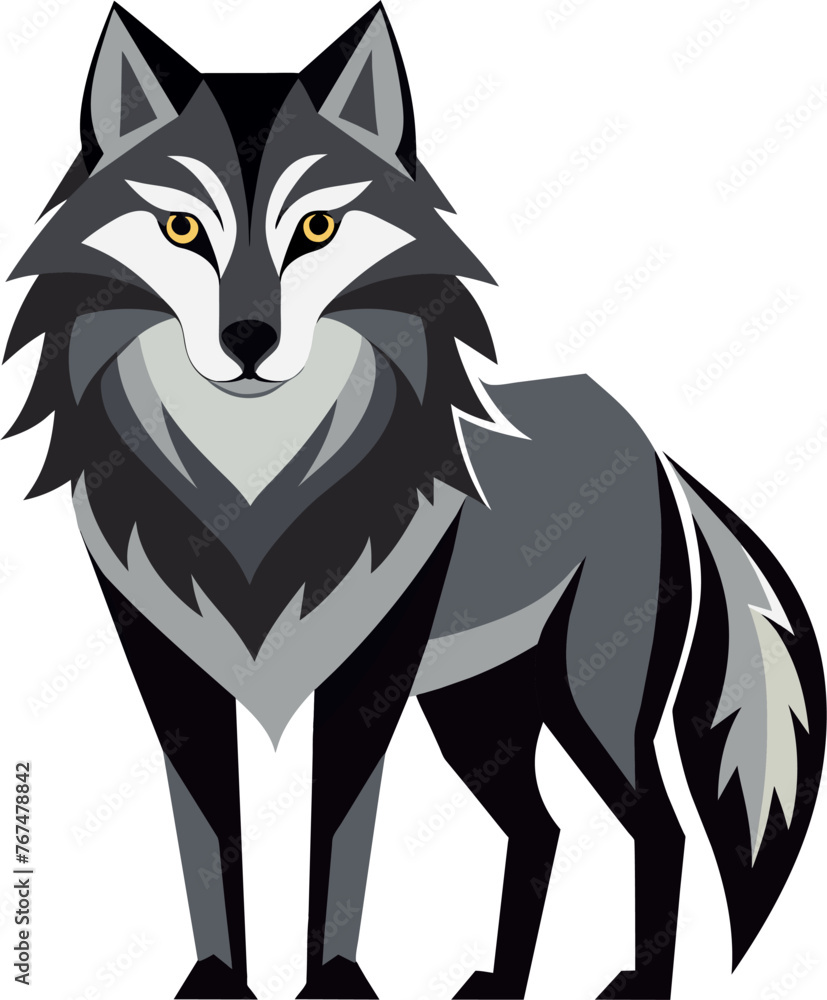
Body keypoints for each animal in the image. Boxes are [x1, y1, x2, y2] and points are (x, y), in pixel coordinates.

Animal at [4, 3, 824, 998]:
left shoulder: (367, 682)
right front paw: (218, 986)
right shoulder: (171, 670)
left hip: (587, 701)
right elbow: (209, 840)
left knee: (657, 827)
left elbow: (335, 843)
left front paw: (331, 987)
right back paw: (499, 987)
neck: (251, 491)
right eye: (181, 228)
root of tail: (647, 445)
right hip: (479, 715)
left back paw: (635, 987)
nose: (248, 338)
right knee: (542, 827)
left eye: (317, 228)